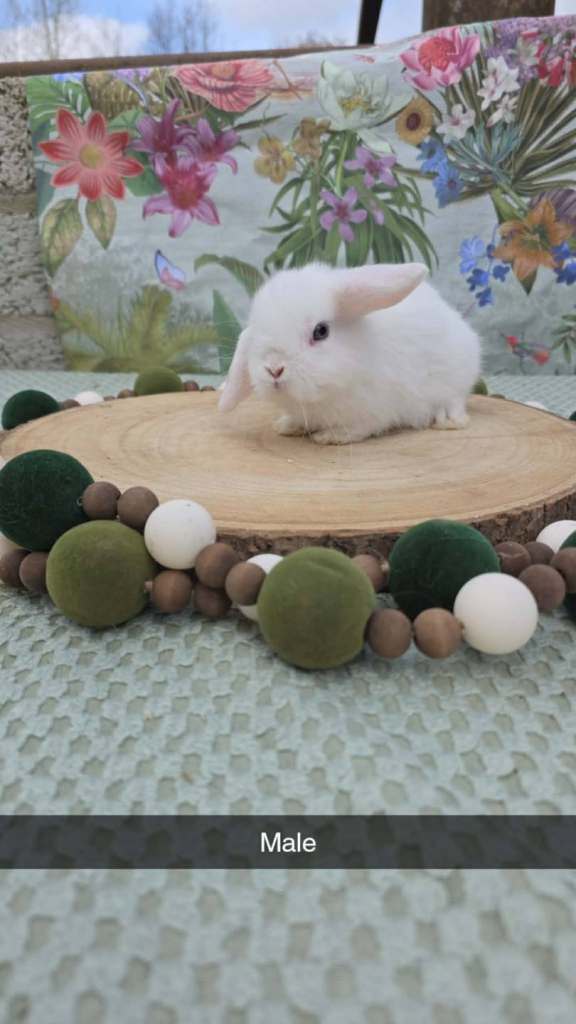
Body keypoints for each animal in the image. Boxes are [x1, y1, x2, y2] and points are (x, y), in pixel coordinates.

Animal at [218, 261, 481, 445]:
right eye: (256, 328)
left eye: (321, 331)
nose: (274, 368)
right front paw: (287, 426)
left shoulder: (375, 410)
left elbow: (360, 428)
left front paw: (330, 437)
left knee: (455, 400)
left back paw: (448, 420)